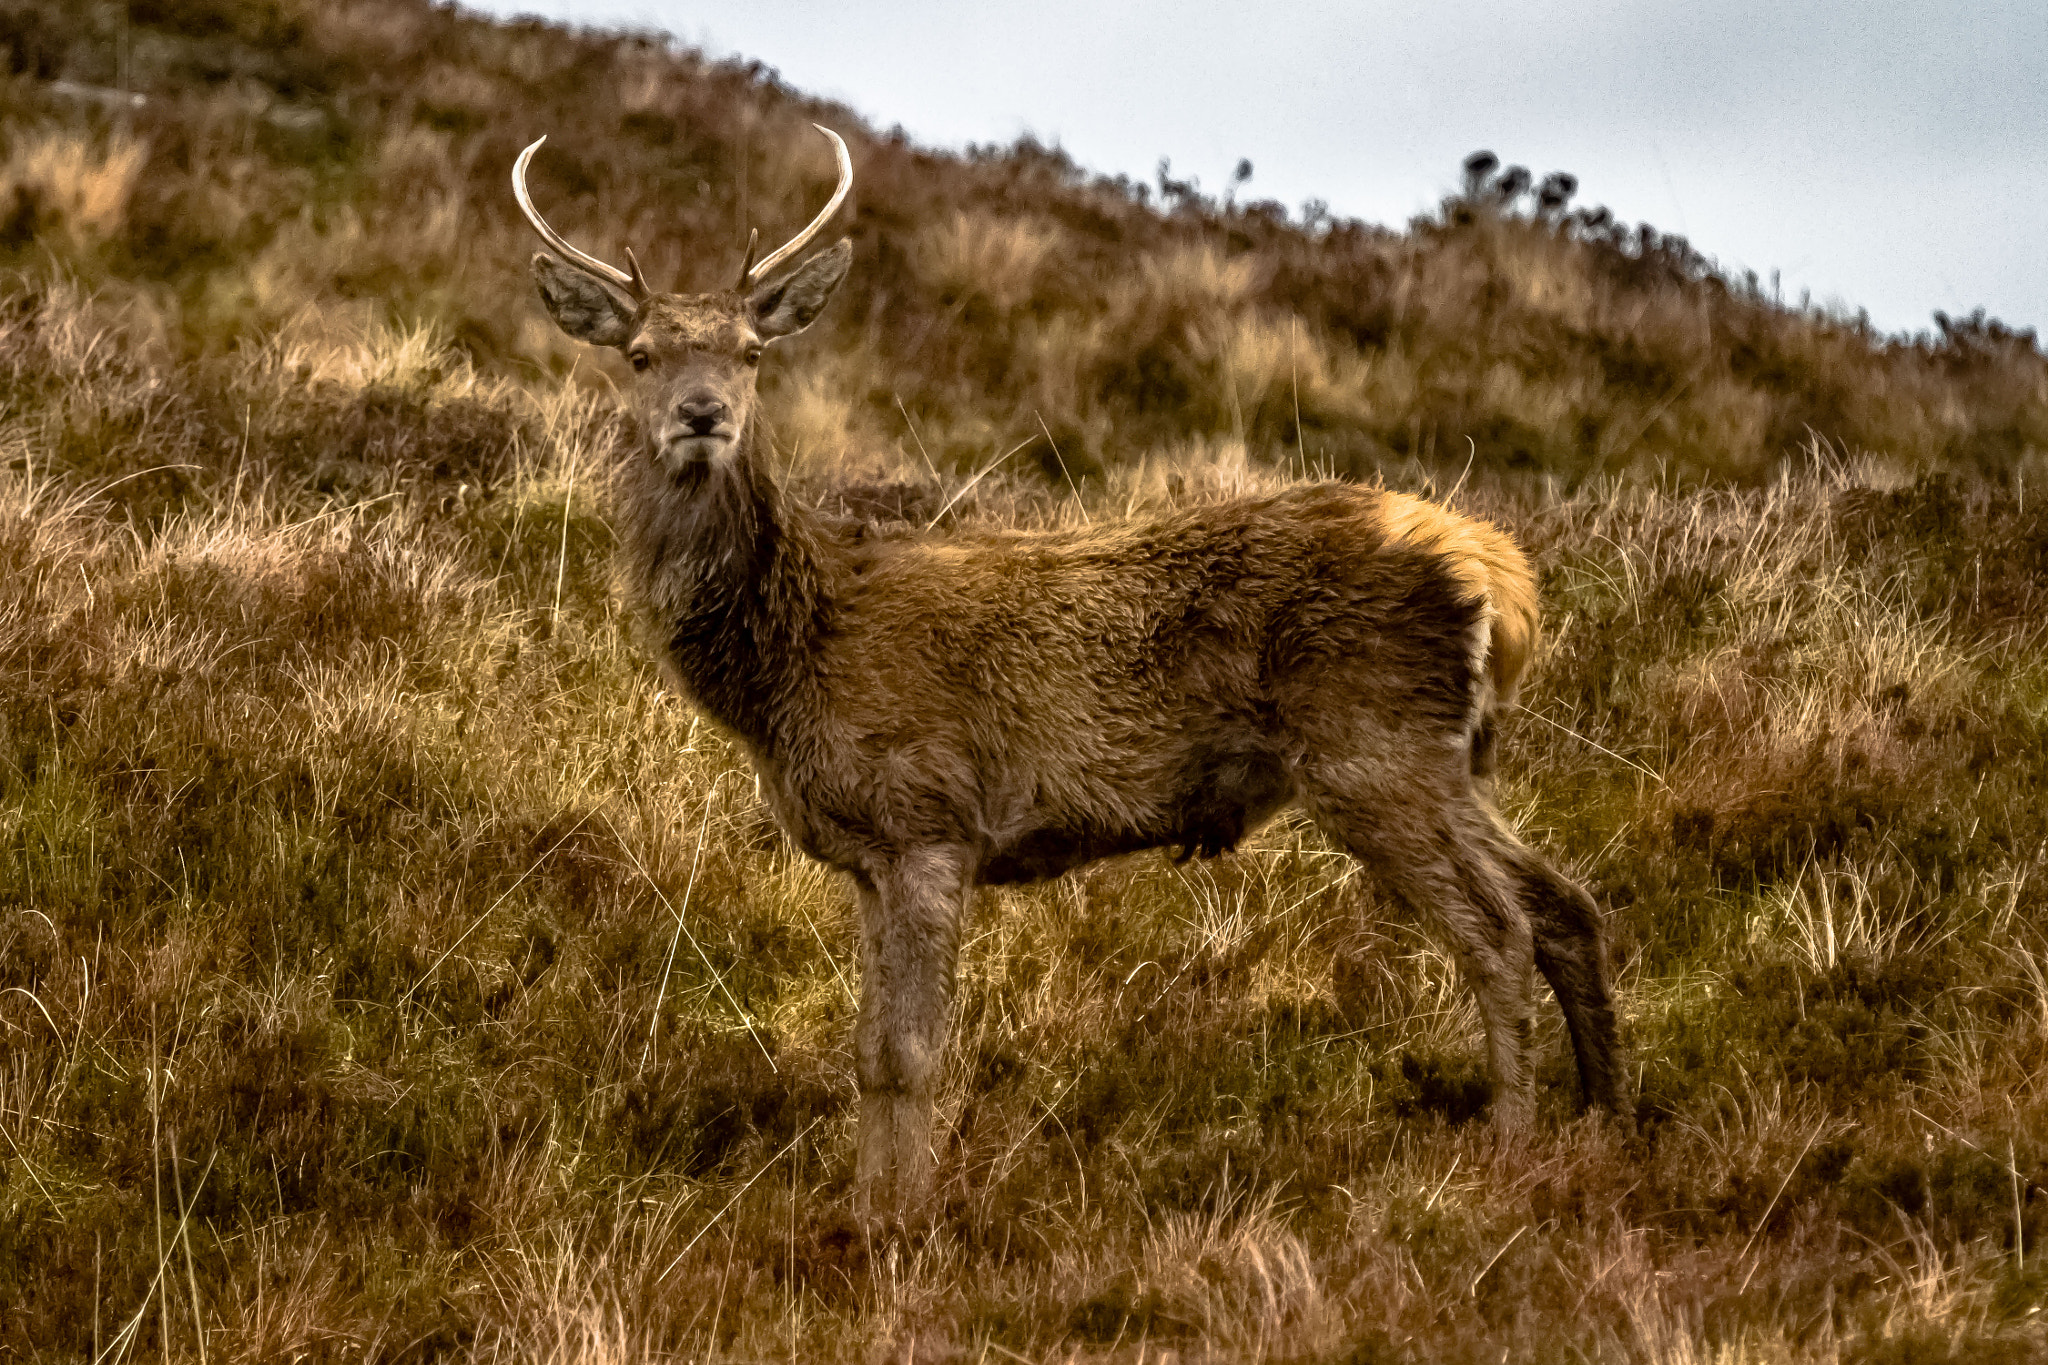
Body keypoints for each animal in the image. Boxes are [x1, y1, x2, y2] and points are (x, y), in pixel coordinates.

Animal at [512, 125, 1627, 1225]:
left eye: (751, 353)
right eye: (641, 355)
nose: (702, 412)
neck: (786, 667)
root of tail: (1498, 571)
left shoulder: (930, 817)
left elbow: (909, 1051)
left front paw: (902, 1228)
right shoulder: (865, 855)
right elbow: (866, 1050)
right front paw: (863, 1213)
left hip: (1372, 747)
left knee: (1498, 932)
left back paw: (1506, 1155)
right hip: (1445, 758)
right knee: (1566, 904)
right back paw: (1605, 1122)